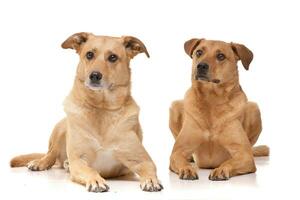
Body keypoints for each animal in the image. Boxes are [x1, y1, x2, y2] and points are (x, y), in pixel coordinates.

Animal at [10, 32, 163, 192]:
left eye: (113, 57)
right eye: (89, 54)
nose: (94, 75)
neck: (102, 108)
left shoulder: (142, 159)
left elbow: (150, 168)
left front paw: (151, 180)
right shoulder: (79, 161)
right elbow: (90, 170)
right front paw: (96, 180)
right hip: (62, 128)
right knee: (51, 153)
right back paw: (40, 162)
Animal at [169, 38, 270, 180]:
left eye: (220, 56)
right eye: (199, 52)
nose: (201, 66)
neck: (212, 100)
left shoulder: (244, 155)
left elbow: (231, 161)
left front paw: (222, 169)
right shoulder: (178, 151)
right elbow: (179, 158)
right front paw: (187, 169)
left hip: (254, 109)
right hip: (175, 106)